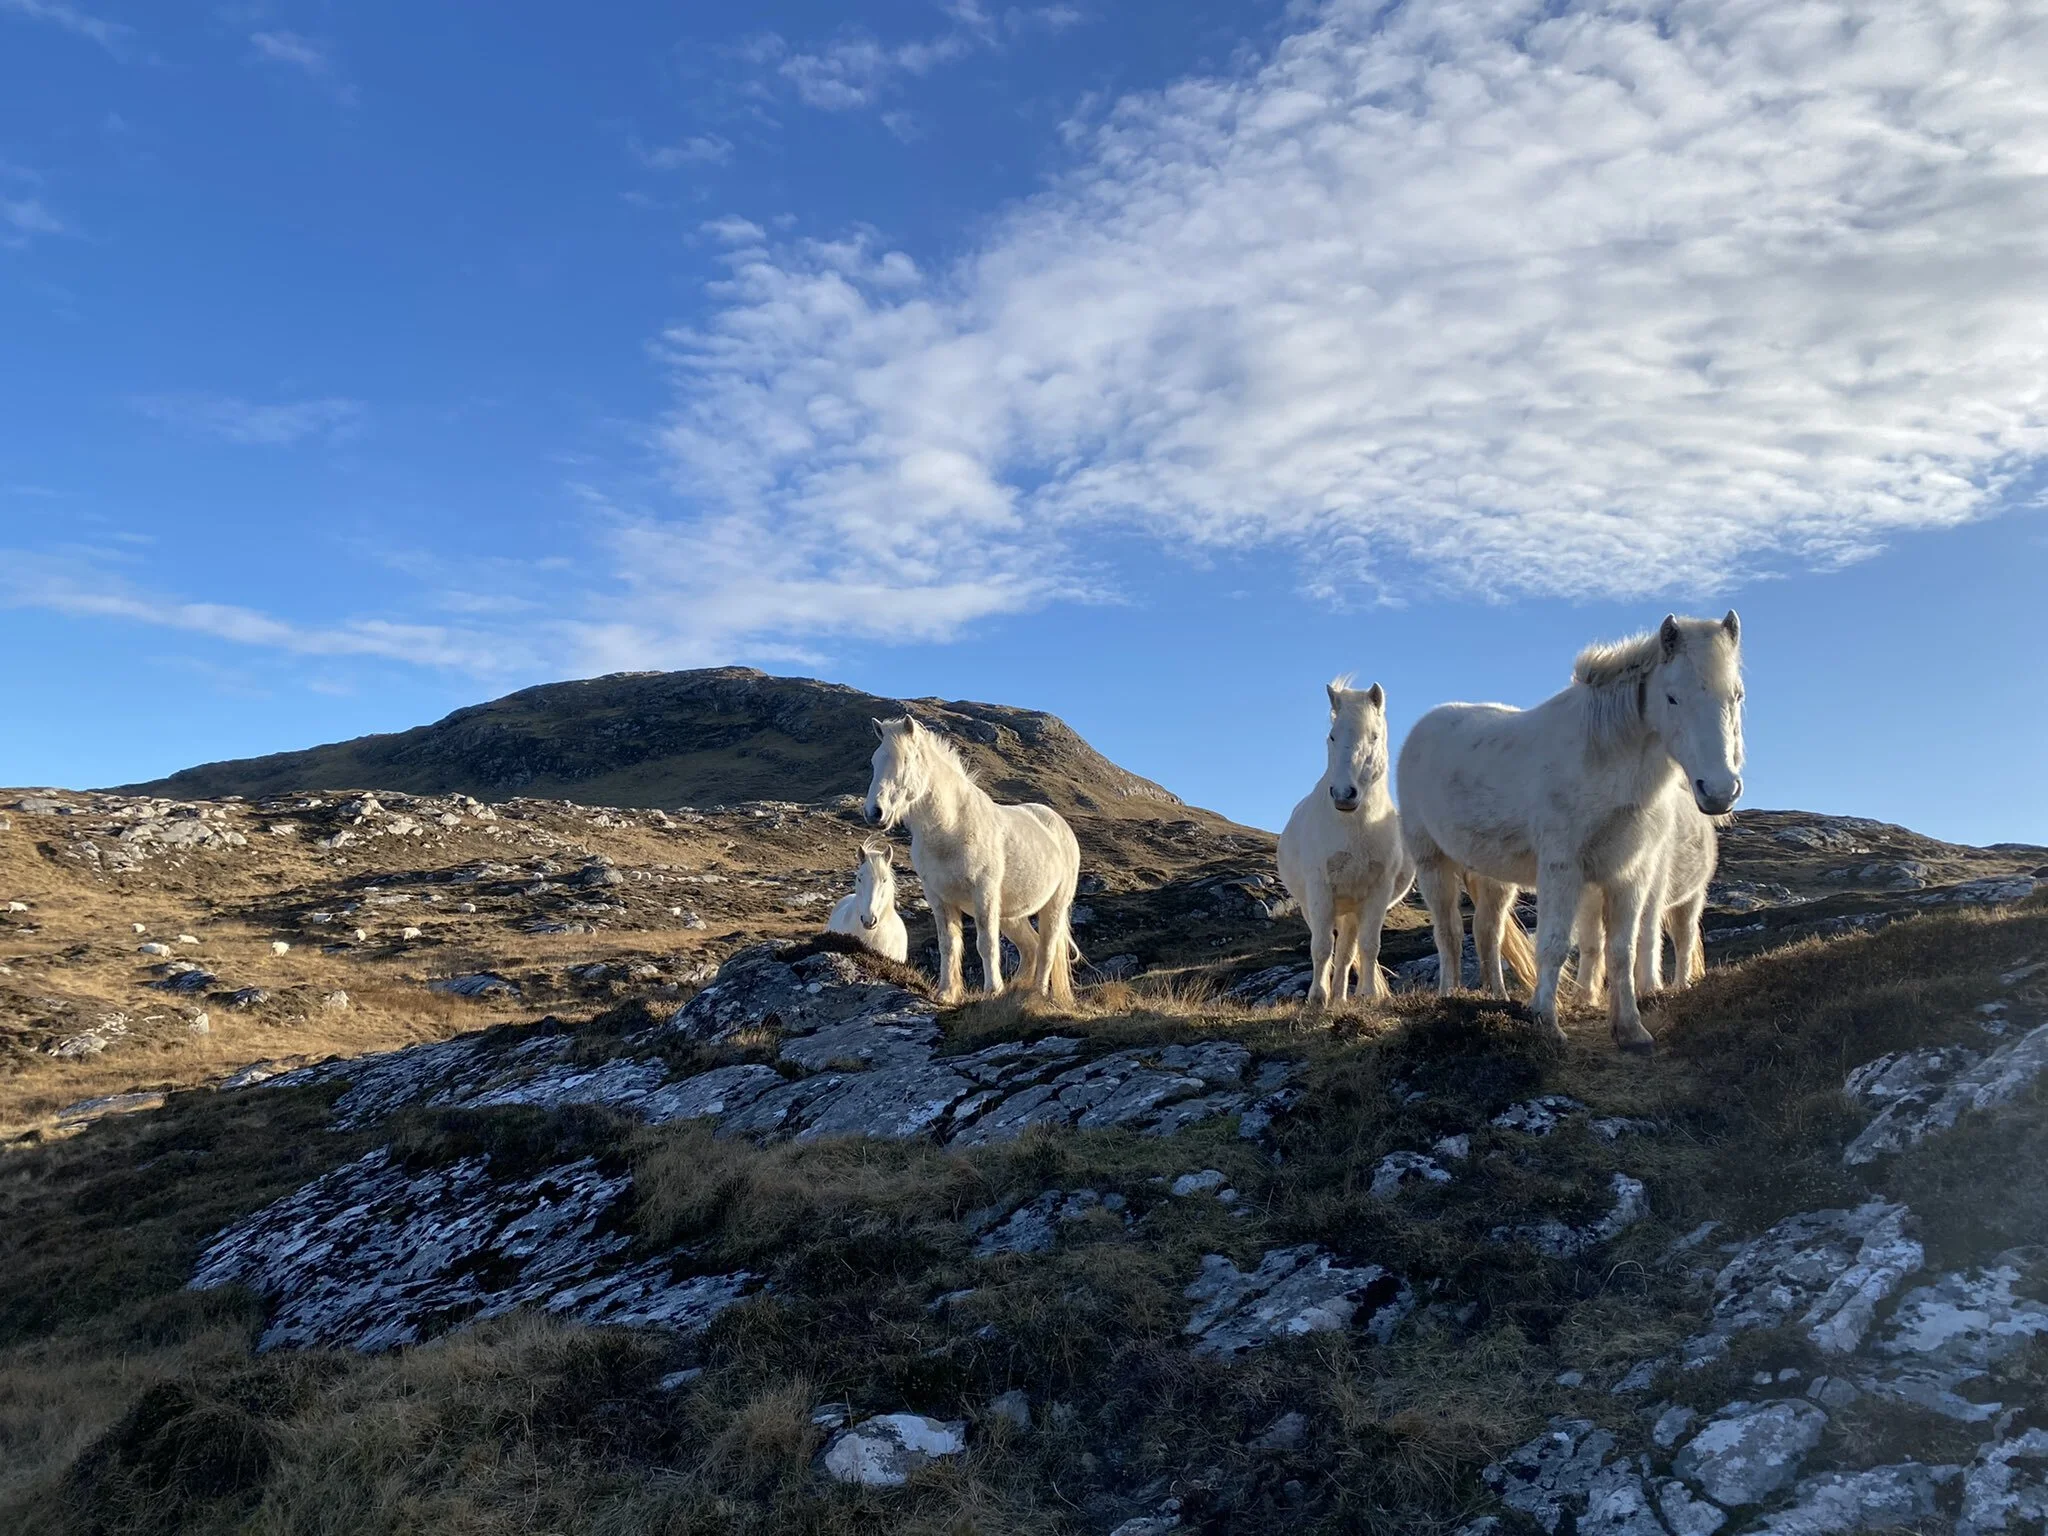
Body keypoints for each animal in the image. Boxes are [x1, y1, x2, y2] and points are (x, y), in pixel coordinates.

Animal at [863, 715, 1081, 1006]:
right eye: (875, 760)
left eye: (906, 760)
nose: (875, 812)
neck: (951, 827)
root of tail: (1058, 826)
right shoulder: (938, 898)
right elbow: (948, 944)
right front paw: (946, 993)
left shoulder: (984, 895)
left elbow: (986, 944)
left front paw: (992, 991)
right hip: (1011, 915)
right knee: (1030, 947)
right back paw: (1016, 990)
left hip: (1054, 906)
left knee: (1046, 948)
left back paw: (1035, 994)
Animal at [1275, 680, 1414, 1007]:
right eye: (1332, 736)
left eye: (1373, 736)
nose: (1343, 794)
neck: (1354, 828)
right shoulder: (1320, 890)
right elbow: (1322, 946)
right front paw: (1317, 997)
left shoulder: (1377, 892)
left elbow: (1368, 946)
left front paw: (1368, 994)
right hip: (1315, 906)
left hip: (1352, 910)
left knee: (1347, 952)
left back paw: (1340, 997)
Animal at [1396, 612, 1745, 1053]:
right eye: (1672, 698)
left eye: (1736, 696)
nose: (1718, 791)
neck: (1602, 760)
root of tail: (1424, 727)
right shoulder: (1563, 870)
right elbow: (1555, 944)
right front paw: (1547, 1023)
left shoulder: (1629, 875)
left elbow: (1622, 949)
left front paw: (1631, 1030)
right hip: (1433, 863)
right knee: (1449, 933)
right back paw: (1449, 996)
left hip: (1492, 876)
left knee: (1487, 931)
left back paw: (1495, 997)